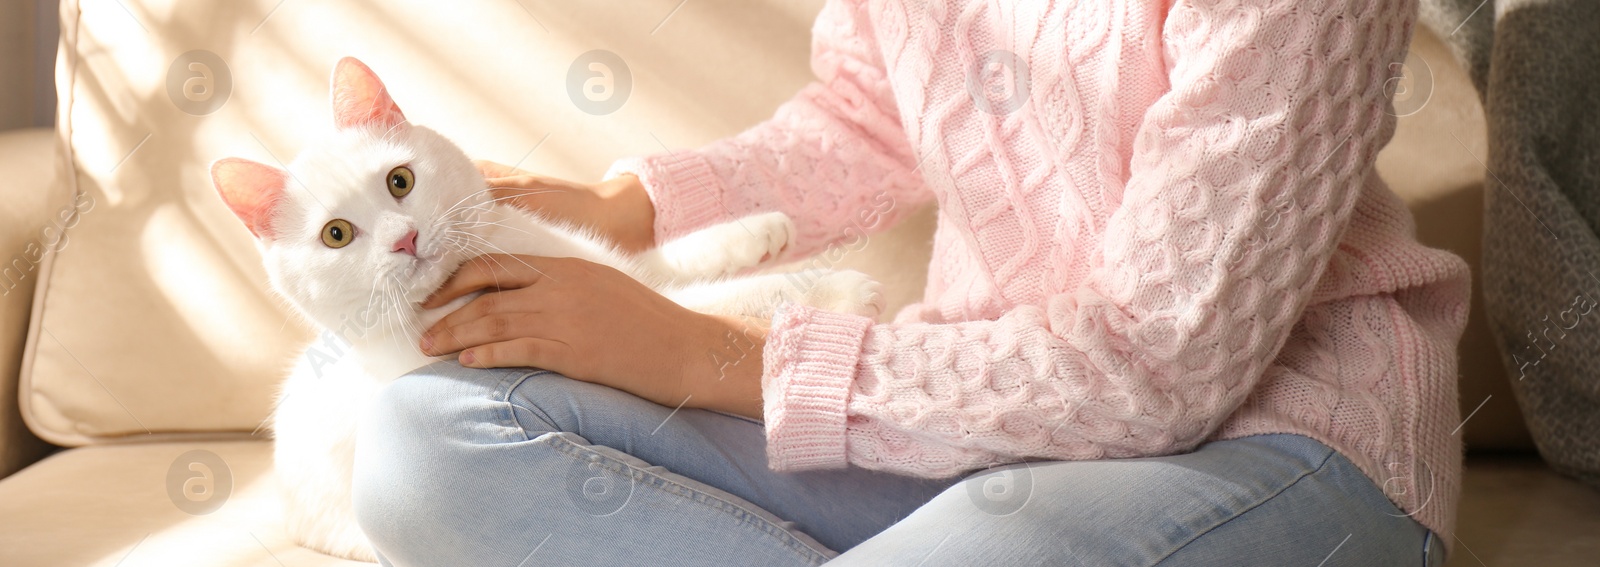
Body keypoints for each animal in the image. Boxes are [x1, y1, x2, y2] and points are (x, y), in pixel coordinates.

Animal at [209, 57, 889, 563]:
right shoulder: (634, 298)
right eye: (337, 235)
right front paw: (840, 294)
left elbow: (661, 262)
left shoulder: (604, 261)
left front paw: (756, 231)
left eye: (400, 181)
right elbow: (702, 301)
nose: (404, 239)